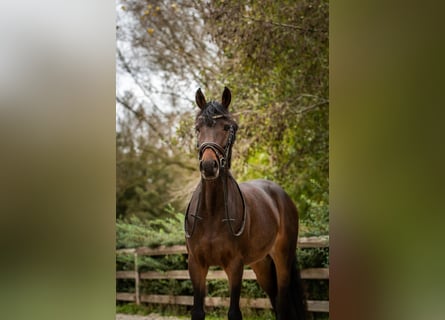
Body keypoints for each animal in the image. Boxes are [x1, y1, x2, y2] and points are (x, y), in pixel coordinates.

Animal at [184, 87, 306, 320]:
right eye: (197, 128)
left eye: (227, 127)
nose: (209, 166)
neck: (211, 212)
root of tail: (280, 195)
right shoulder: (196, 265)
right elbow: (198, 312)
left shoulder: (235, 265)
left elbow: (234, 313)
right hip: (261, 264)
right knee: (276, 301)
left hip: (282, 259)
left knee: (284, 304)